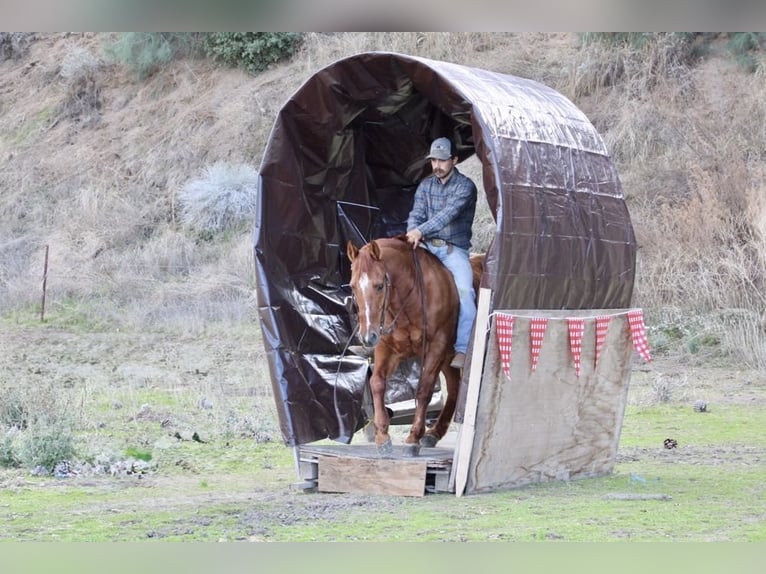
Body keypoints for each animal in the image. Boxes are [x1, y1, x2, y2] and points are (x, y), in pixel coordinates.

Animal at [350, 234, 484, 454]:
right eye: (353, 286)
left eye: (379, 285)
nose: (367, 336)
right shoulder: (386, 347)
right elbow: (377, 383)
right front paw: (382, 436)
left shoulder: (436, 347)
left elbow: (423, 389)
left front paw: (413, 437)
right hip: (447, 360)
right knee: (455, 388)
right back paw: (434, 433)